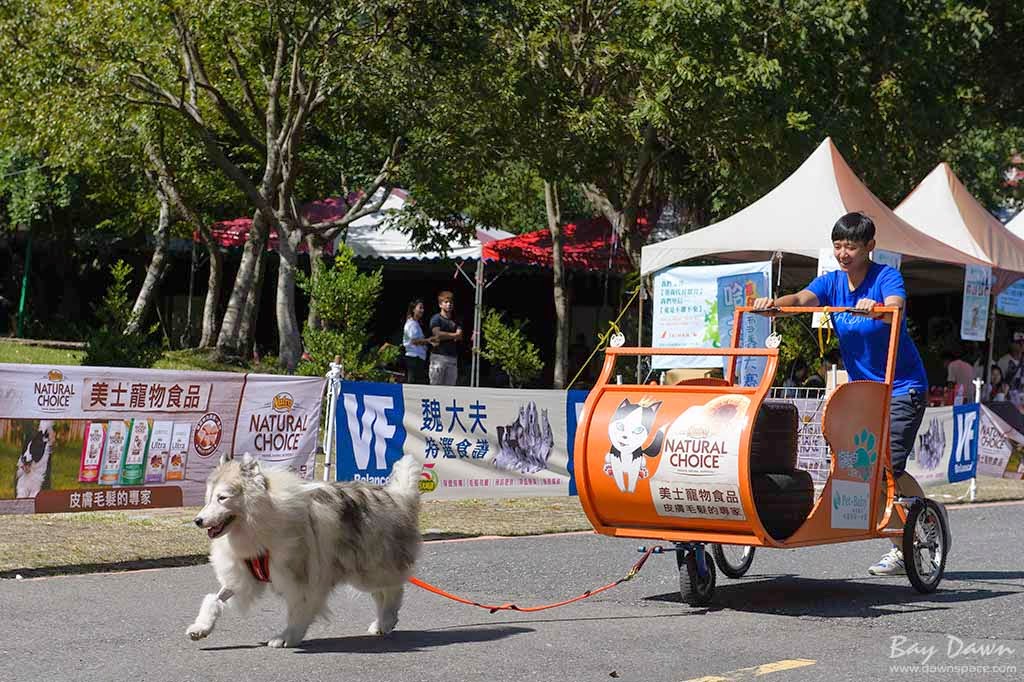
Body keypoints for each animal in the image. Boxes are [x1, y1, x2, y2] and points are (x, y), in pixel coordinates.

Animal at [187, 448, 419, 647]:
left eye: (222, 498)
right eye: (208, 498)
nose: (197, 521)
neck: (259, 520)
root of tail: (397, 496)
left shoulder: (301, 579)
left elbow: (298, 612)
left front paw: (287, 637)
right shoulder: (244, 575)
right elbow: (214, 599)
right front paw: (201, 627)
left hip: (369, 568)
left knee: (393, 589)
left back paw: (387, 620)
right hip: (363, 569)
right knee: (381, 593)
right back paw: (381, 624)